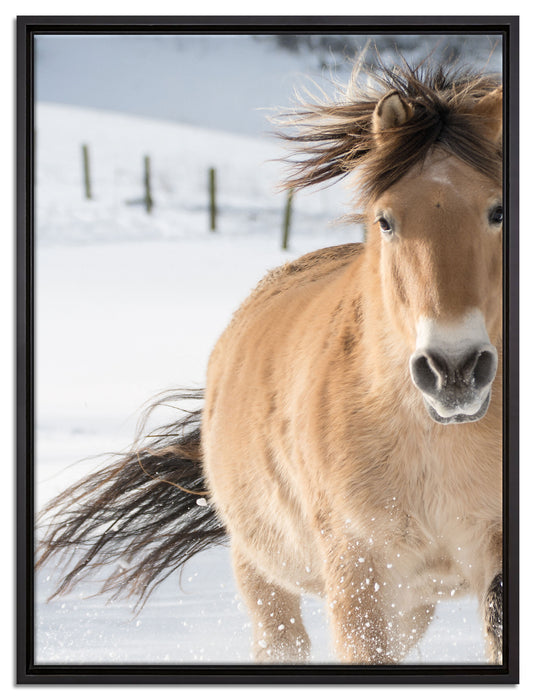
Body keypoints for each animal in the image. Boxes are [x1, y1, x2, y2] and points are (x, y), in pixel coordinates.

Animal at [37, 60, 504, 665]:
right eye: (385, 220)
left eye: (499, 211)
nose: (455, 370)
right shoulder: (360, 572)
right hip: (262, 570)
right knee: (282, 641)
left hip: (410, 603)